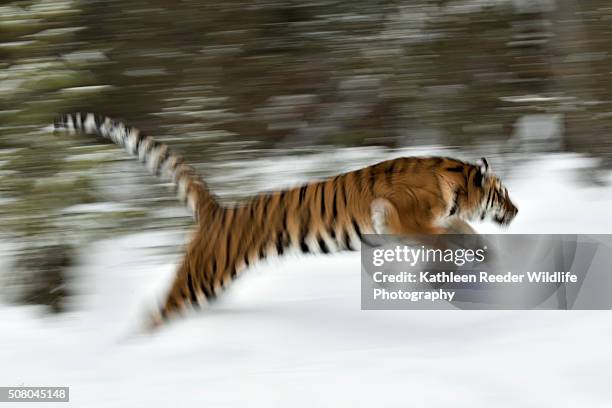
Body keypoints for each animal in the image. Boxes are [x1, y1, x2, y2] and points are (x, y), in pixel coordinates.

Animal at [55, 113, 520, 330]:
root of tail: (216, 209)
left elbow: (466, 232)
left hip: (209, 283)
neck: (455, 184)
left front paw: (486, 256)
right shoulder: (404, 218)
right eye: (503, 192)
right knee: (159, 311)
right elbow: (442, 237)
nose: (516, 211)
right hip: (201, 277)